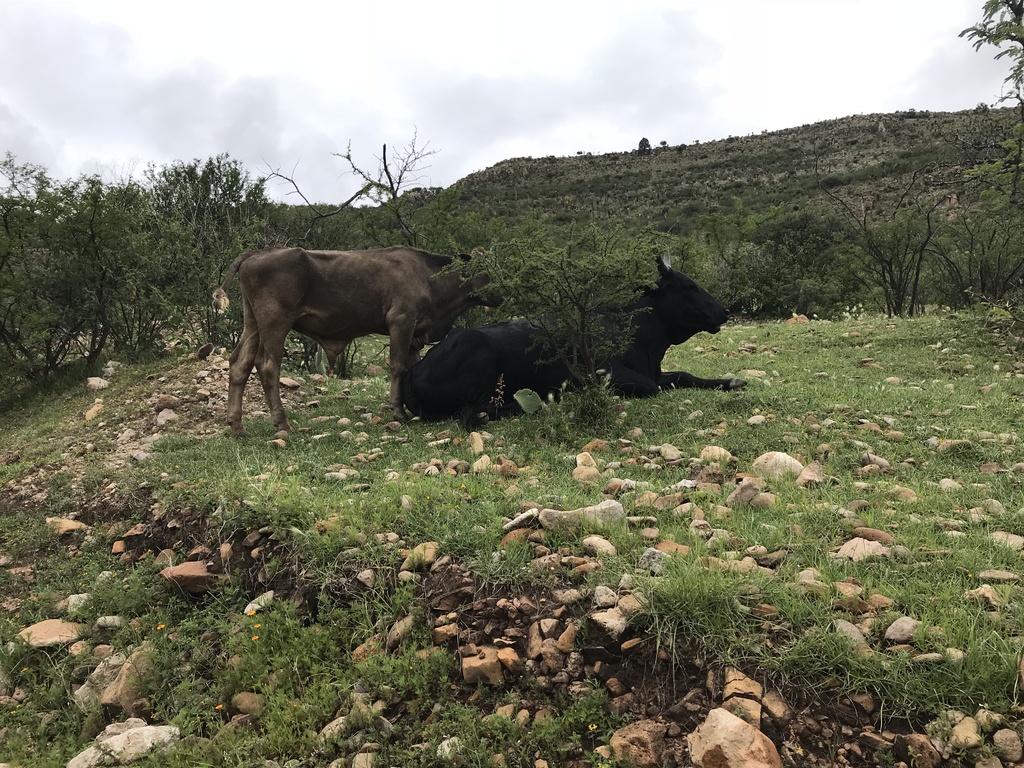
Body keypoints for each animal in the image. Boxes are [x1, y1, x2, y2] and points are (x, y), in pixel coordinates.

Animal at [212, 249, 491, 436]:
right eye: (488, 272)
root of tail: (257, 254)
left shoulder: (414, 333)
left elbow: (412, 366)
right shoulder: (401, 321)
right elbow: (398, 366)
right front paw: (399, 413)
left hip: (252, 324)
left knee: (240, 363)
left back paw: (237, 426)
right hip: (275, 323)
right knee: (268, 365)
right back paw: (282, 423)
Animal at [399, 256, 745, 430]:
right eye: (688, 287)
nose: (725, 311)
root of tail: (414, 369)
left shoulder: (656, 371)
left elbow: (684, 376)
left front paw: (732, 381)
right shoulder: (606, 373)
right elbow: (652, 387)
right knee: (480, 412)